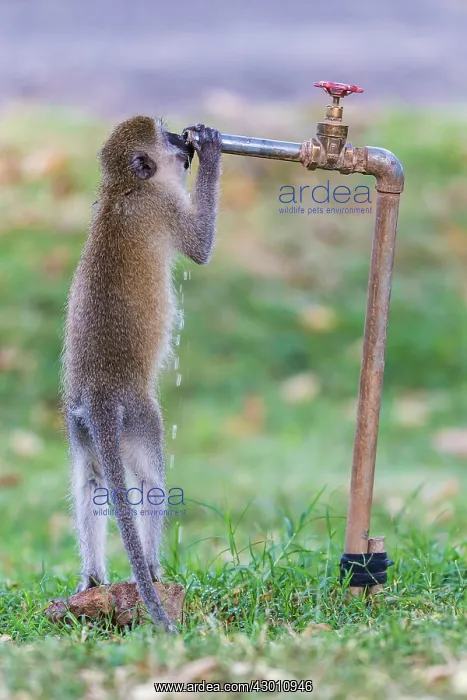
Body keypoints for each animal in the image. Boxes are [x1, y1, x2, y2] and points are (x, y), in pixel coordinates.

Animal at [62, 116, 222, 633]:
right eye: (168, 136)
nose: (183, 140)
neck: (122, 189)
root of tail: (98, 396)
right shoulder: (164, 205)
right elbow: (199, 247)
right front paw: (212, 149)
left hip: (80, 427)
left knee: (90, 484)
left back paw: (93, 579)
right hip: (138, 417)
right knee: (152, 484)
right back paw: (149, 568)